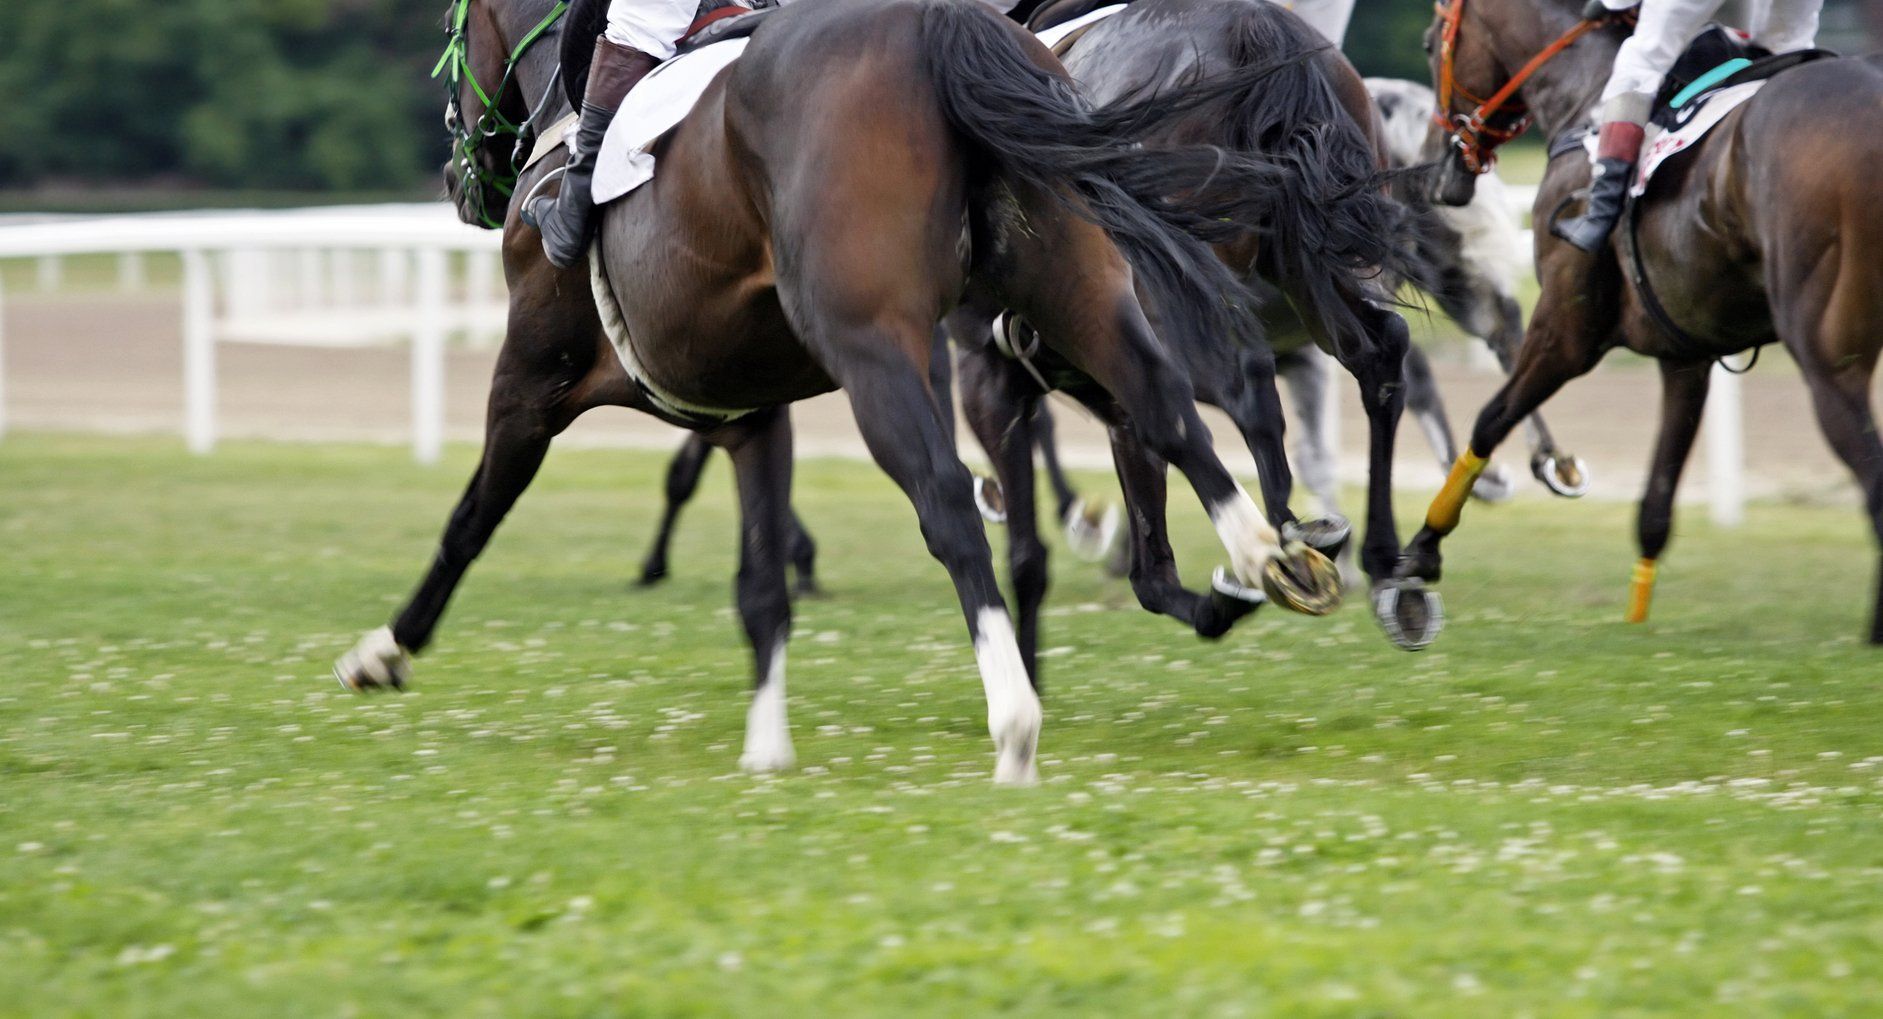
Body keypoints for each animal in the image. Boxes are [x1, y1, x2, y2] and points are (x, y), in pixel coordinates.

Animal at [335, 0, 1369, 785]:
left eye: (455, 34)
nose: (457, 173)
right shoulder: (749, 411)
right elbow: (759, 582)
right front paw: (765, 747)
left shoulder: (531, 378)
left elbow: (471, 519)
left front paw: (386, 647)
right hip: (1077, 284)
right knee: (1166, 404)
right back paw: (1273, 555)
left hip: (877, 344)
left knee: (950, 500)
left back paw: (1015, 717)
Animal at [1401, 0, 1883, 642]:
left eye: (1431, 44)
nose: (1434, 166)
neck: (1586, 104)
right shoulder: (1687, 355)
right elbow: (1655, 507)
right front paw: (1635, 621)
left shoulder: (1566, 331)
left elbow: (1491, 418)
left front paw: (1422, 551)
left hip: (1826, 356)